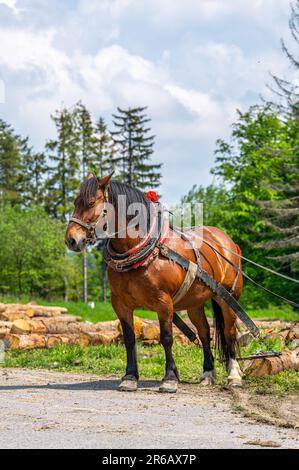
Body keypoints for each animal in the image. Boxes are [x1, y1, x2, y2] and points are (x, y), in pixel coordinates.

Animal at [65, 174, 244, 392]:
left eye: (91, 203)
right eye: (75, 202)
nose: (71, 240)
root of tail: (226, 240)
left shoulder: (163, 302)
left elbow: (166, 338)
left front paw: (169, 378)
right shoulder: (120, 303)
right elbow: (129, 339)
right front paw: (130, 377)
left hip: (228, 298)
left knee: (230, 333)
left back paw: (234, 375)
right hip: (195, 303)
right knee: (204, 333)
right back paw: (208, 373)